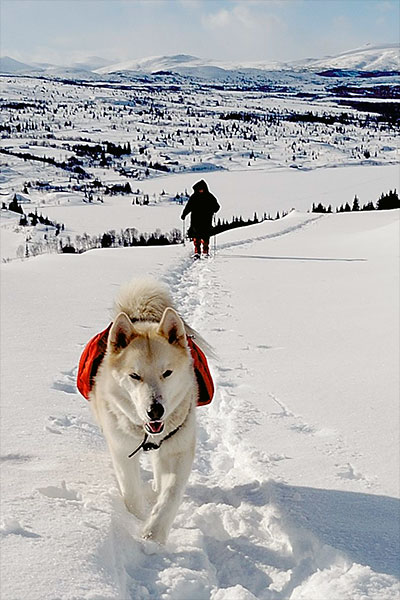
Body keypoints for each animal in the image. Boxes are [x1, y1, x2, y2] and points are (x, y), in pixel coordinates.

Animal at [89, 278, 211, 544]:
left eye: (167, 373)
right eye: (135, 376)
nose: (155, 411)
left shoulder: (179, 450)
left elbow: (171, 495)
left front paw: (153, 533)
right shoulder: (122, 449)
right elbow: (131, 493)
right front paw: (137, 520)